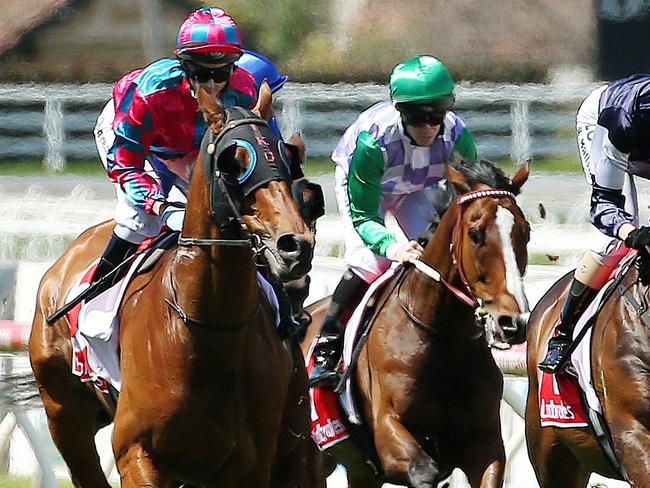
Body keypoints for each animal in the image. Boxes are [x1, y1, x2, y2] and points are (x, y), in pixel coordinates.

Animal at [28, 86, 316, 486]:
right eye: (234, 161)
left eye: (286, 158)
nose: (295, 245)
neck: (205, 332)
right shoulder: (137, 453)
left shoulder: (249, 465)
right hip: (64, 416)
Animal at [302, 158, 528, 486]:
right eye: (475, 233)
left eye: (525, 232)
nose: (512, 322)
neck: (441, 337)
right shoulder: (388, 433)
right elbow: (425, 470)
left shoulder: (486, 446)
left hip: (358, 470)